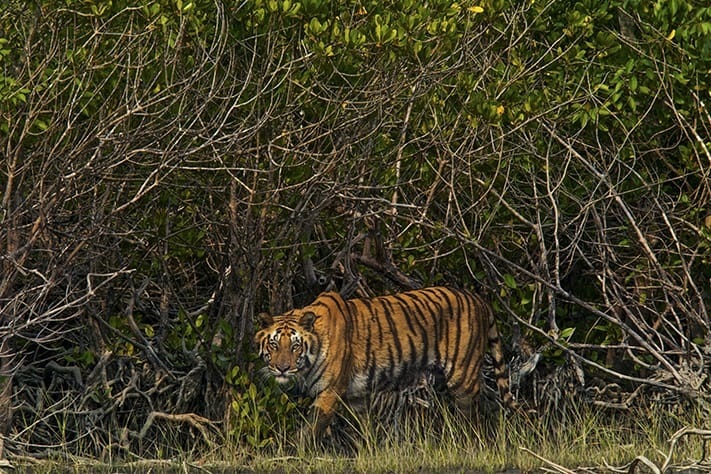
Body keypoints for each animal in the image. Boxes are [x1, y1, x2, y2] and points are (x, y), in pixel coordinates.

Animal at [256, 286, 516, 440]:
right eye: (274, 345)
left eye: (295, 346)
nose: (282, 368)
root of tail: (479, 299)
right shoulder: (357, 397)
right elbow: (362, 432)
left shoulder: (330, 392)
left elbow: (311, 429)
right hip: (450, 377)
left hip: (463, 377)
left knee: (472, 418)